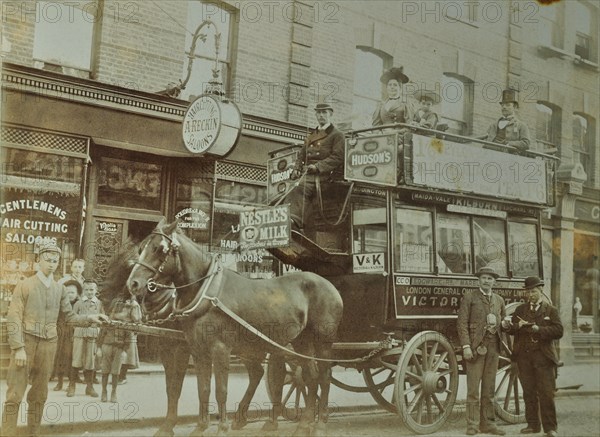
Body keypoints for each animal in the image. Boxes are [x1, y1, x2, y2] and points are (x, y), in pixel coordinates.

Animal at [126, 220, 342, 434]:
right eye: (141, 248)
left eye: (159, 249)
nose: (133, 283)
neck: (206, 292)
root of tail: (329, 285)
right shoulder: (198, 350)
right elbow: (203, 389)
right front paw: (200, 427)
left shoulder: (219, 349)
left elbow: (220, 390)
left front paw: (222, 428)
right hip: (299, 341)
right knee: (309, 377)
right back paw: (304, 424)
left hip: (322, 342)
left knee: (324, 377)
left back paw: (320, 423)